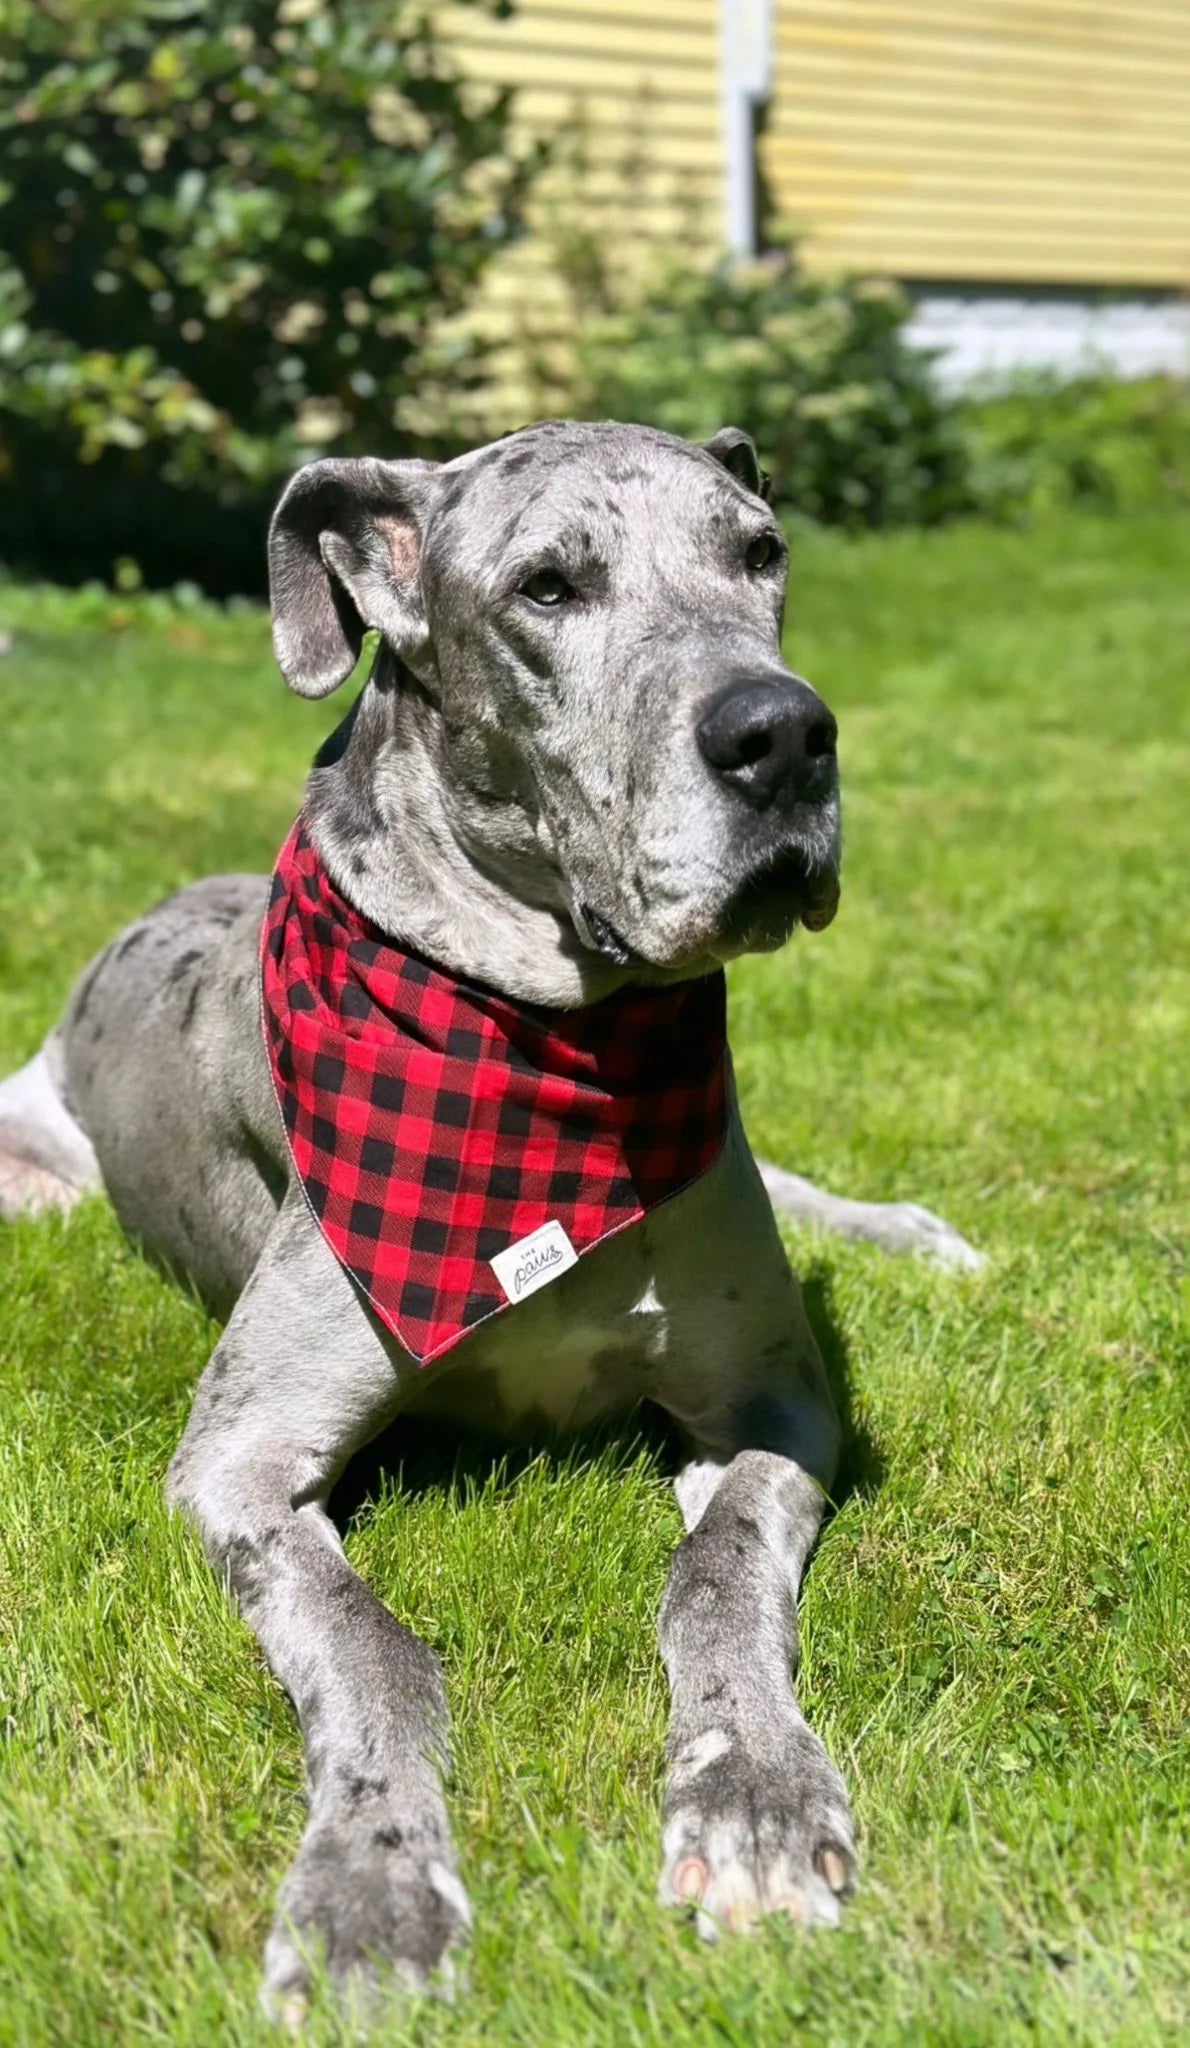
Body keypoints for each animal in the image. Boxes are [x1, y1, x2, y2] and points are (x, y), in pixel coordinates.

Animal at [0, 419, 979, 2015]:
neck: (553, 1045)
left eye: (760, 551)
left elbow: (715, 1573)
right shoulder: (235, 1461)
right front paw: (369, 1885)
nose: (782, 736)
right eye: (546, 588)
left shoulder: (772, 1399)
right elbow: (375, 1650)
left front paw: (754, 1795)